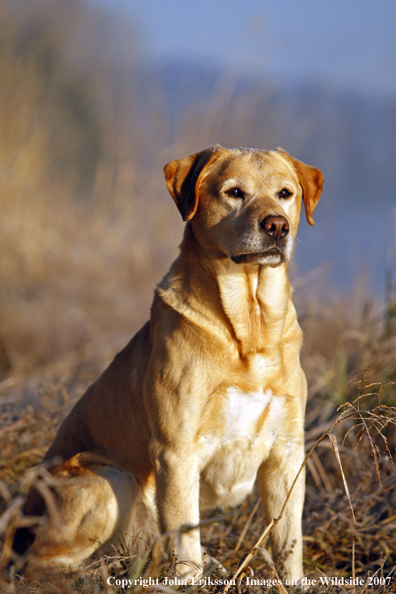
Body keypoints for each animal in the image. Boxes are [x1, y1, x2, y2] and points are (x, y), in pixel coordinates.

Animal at [22, 146, 322, 580]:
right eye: (234, 192)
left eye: (286, 193)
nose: (277, 226)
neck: (249, 331)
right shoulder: (176, 450)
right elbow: (185, 542)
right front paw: (189, 580)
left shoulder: (287, 451)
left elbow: (288, 542)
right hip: (111, 479)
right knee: (38, 561)